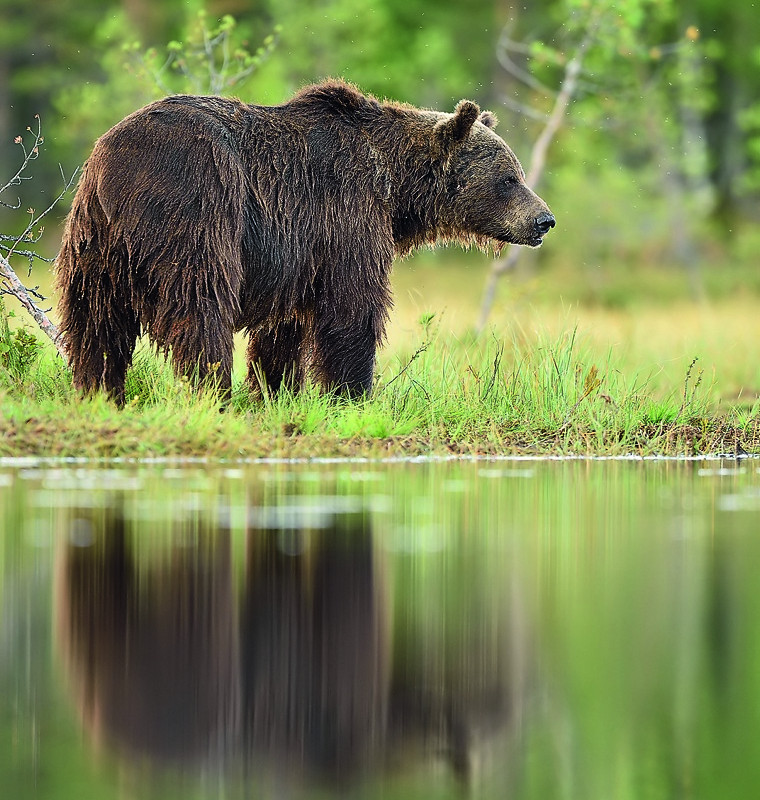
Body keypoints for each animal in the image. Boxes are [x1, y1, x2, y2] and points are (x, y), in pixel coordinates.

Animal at [53, 80, 552, 400]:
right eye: (509, 178)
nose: (544, 219)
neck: (394, 189)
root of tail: (113, 164)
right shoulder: (344, 215)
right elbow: (352, 307)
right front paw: (352, 394)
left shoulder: (297, 251)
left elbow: (283, 328)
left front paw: (276, 391)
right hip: (197, 203)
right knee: (201, 306)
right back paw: (212, 390)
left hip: (93, 241)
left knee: (95, 321)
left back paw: (98, 390)